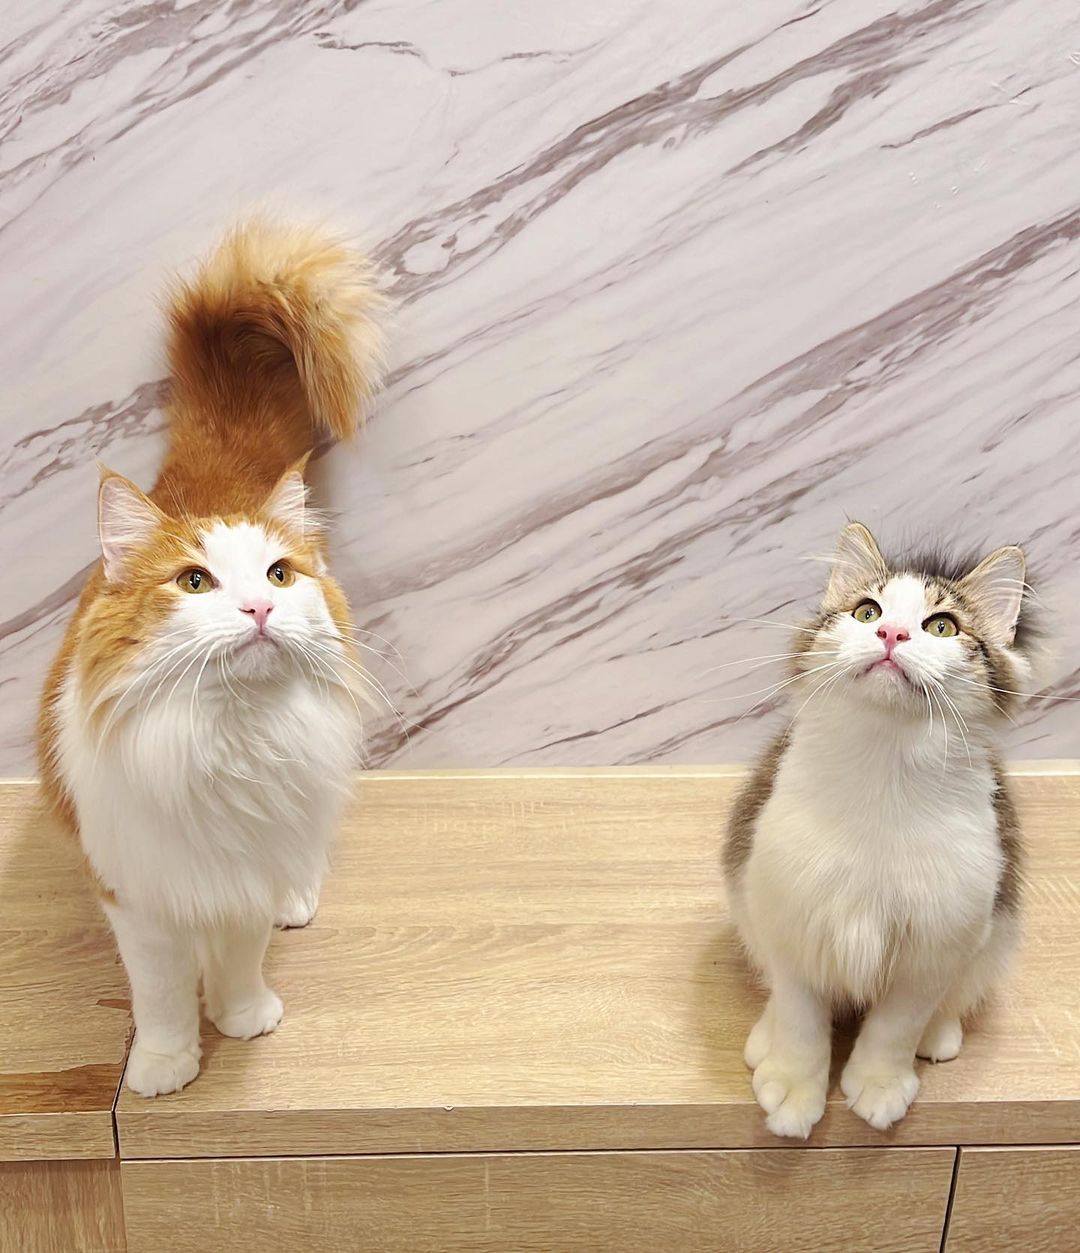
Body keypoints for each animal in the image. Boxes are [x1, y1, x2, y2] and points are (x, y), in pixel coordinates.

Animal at [38, 220, 385, 1097]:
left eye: (278, 575)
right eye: (194, 581)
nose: (259, 607)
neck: (230, 738)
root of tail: (205, 474)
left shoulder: (247, 871)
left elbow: (239, 955)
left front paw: (243, 1017)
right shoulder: (140, 892)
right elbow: (160, 992)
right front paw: (166, 1065)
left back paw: (300, 894)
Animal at [723, 522, 1034, 1138]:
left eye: (942, 626)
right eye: (867, 611)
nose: (891, 633)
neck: (884, 769)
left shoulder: (934, 945)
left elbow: (894, 1029)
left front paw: (879, 1088)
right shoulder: (792, 920)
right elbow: (801, 1021)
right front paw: (793, 1091)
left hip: (992, 937)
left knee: (953, 1001)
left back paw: (939, 1036)